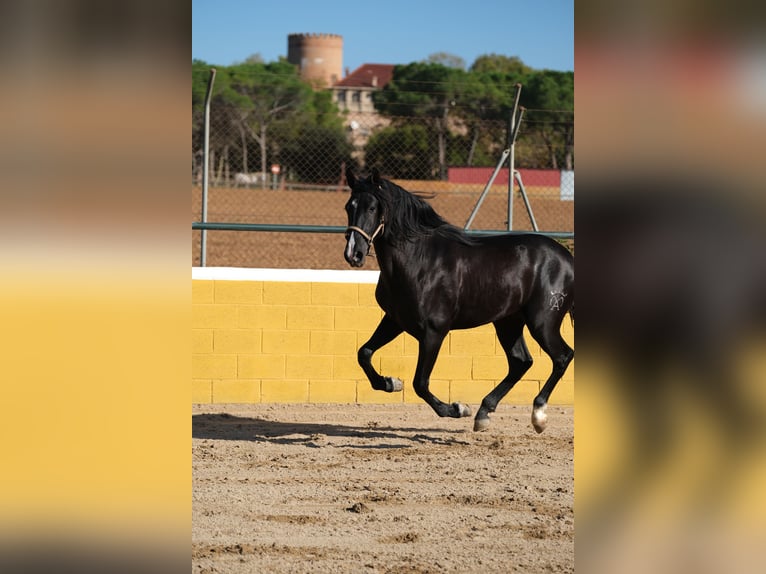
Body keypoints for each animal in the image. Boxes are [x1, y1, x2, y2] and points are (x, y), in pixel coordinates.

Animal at [344, 169, 576, 434]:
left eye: (372, 208)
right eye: (349, 207)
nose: (353, 254)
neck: (418, 261)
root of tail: (567, 257)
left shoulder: (434, 331)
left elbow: (420, 383)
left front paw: (457, 408)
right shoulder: (395, 320)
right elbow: (364, 353)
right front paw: (390, 383)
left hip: (543, 322)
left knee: (562, 356)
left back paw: (538, 415)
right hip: (508, 321)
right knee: (521, 362)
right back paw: (483, 413)